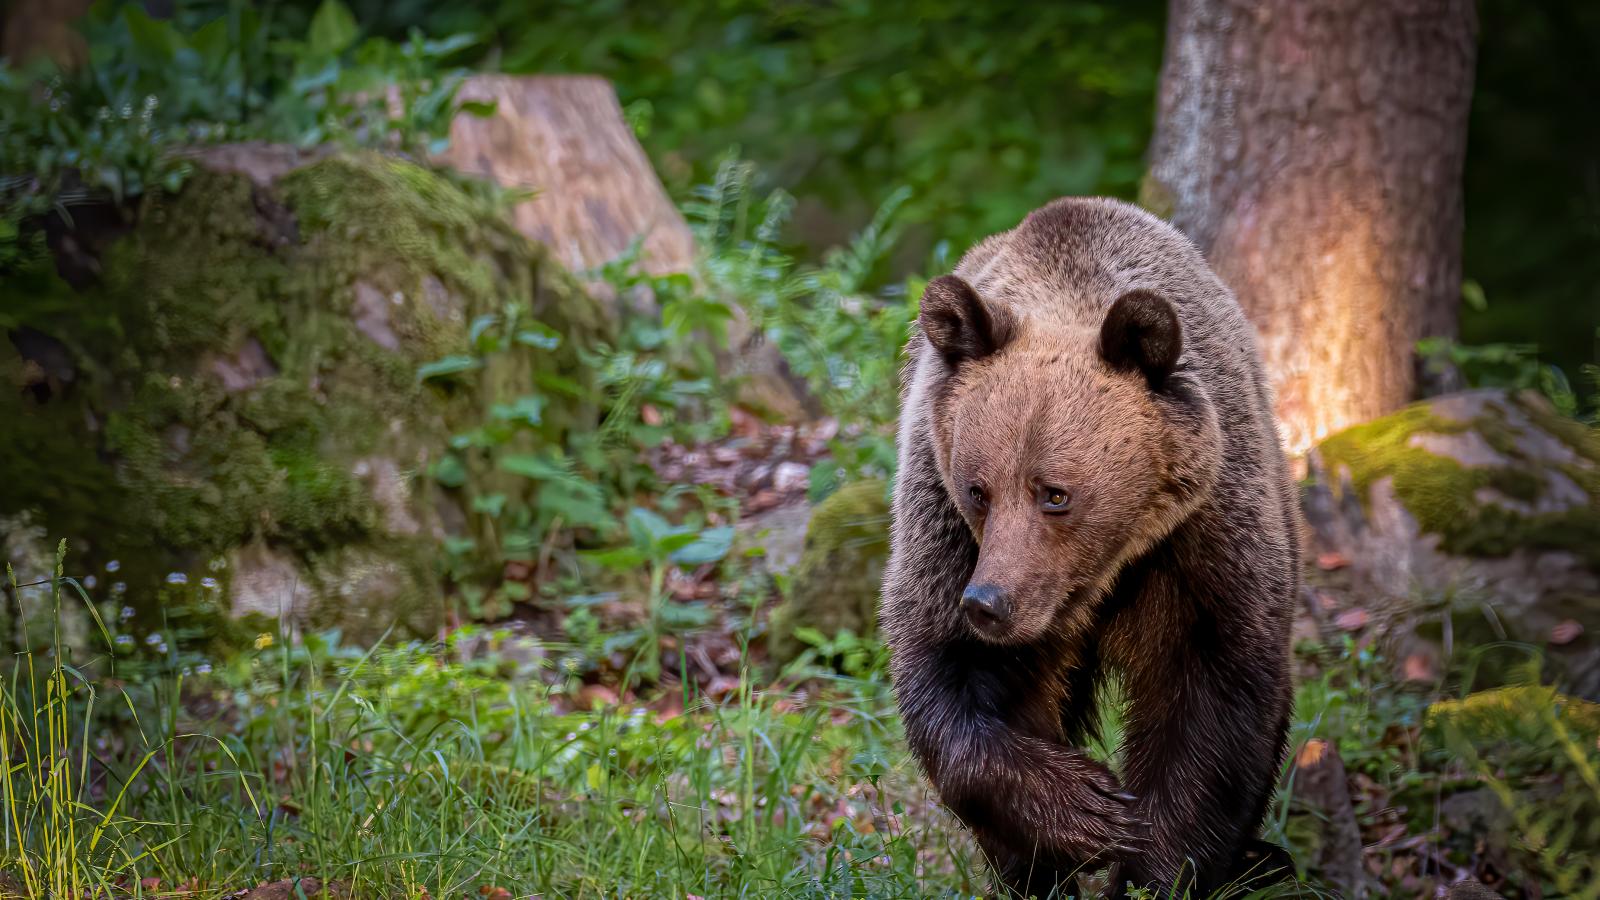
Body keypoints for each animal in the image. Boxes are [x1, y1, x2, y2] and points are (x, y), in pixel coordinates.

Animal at [883, 197, 1305, 896]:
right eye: (978, 490)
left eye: (1055, 493)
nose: (989, 603)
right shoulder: (941, 523)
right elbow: (947, 678)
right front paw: (1085, 810)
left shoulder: (1204, 536)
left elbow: (1215, 692)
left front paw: (1154, 861)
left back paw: (1260, 860)